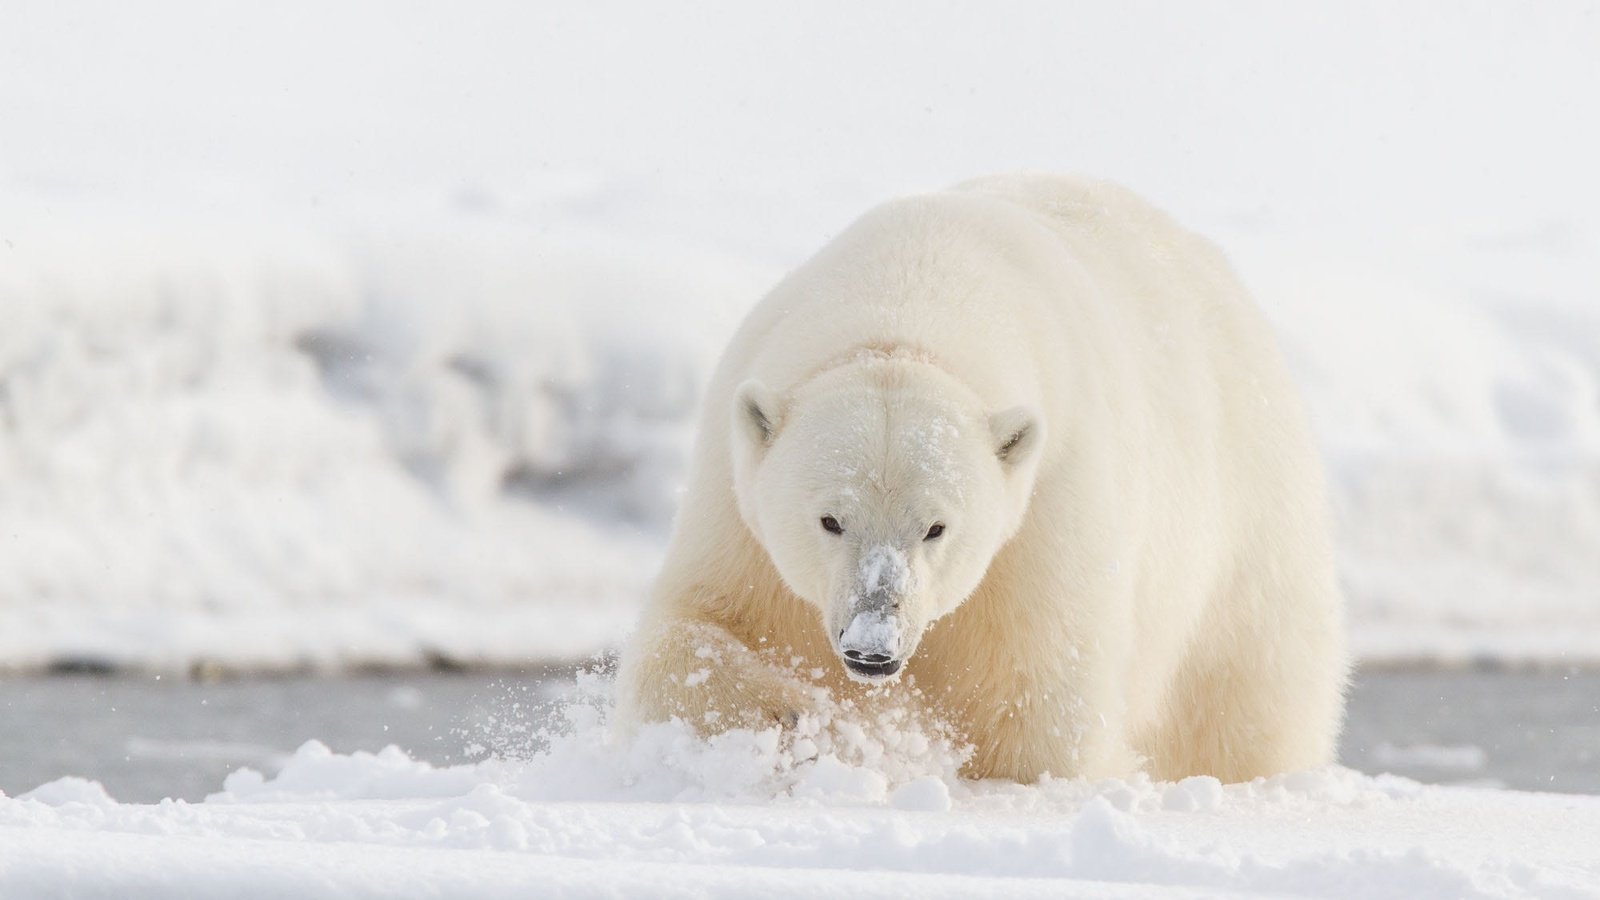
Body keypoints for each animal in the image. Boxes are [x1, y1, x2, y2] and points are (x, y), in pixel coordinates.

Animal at [617, 173, 1344, 778]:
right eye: (829, 519)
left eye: (936, 527)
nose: (873, 646)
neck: (910, 294)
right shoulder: (735, 500)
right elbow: (696, 627)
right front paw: (802, 717)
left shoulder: (1046, 509)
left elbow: (1034, 706)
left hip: (1245, 515)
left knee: (1247, 692)